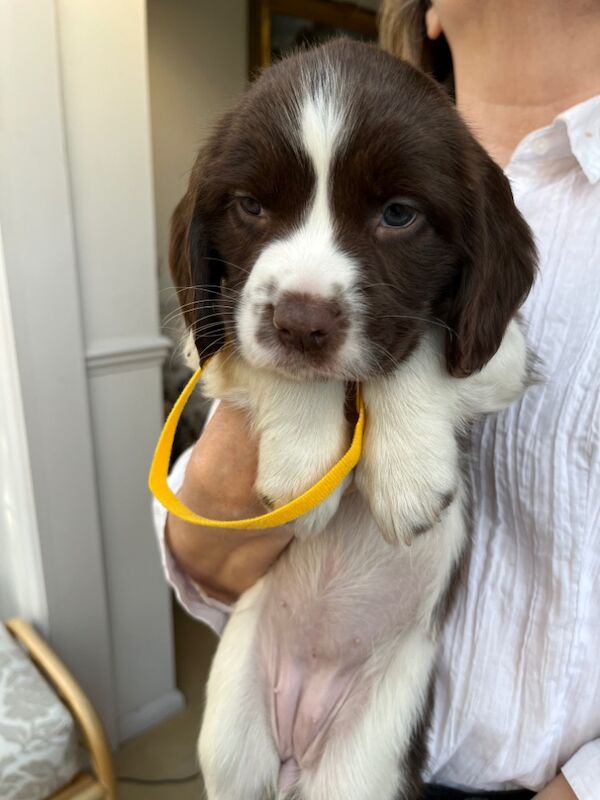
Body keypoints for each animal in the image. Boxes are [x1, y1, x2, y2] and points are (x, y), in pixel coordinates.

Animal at [169, 40, 536, 800]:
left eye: (398, 215)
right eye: (250, 206)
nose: (302, 322)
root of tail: (294, 752)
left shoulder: (499, 346)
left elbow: (415, 342)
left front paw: (408, 479)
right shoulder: (209, 333)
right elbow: (258, 351)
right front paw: (306, 467)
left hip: (367, 760)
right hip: (232, 733)